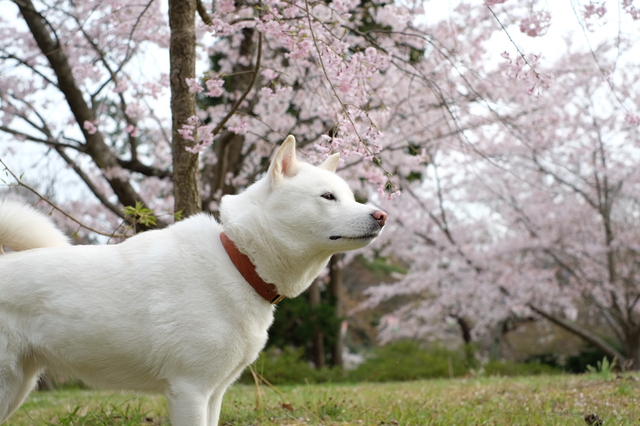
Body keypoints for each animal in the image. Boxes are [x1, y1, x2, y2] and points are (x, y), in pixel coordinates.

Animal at [0, 137, 384, 426]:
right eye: (327, 197)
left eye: (349, 196)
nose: (381, 215)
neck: (239, 263)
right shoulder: (190, 390)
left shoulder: (213, 393)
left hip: (17, 387)